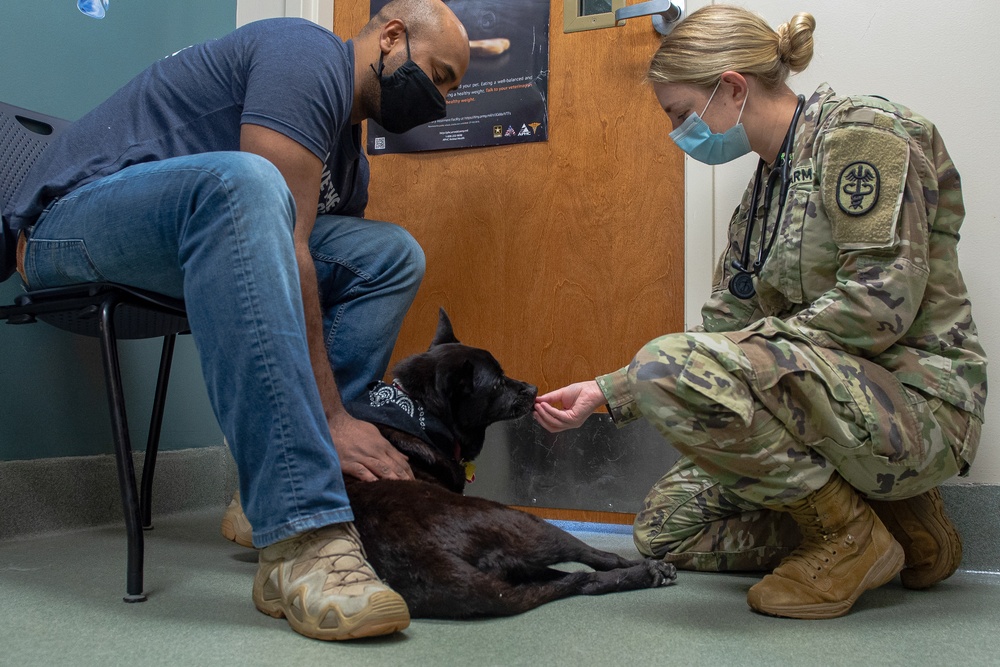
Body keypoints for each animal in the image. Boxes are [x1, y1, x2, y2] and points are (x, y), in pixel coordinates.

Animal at [225, 310, 680, 620]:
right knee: (596, 561)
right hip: (532, 525)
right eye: (497, 383)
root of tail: (435, 561)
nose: (534, 388)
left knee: (581, 581)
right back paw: (648, 570)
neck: (418, 411)